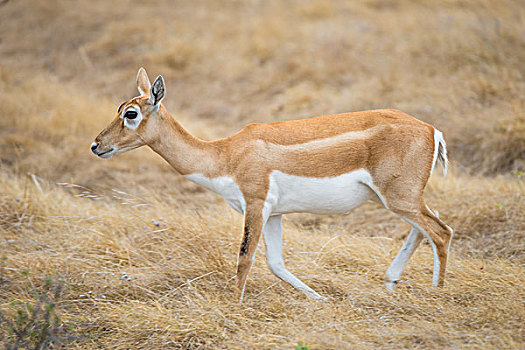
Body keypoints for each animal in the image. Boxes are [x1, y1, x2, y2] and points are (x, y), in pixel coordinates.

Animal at [90, 67, 450, 300]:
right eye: (119, 108)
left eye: (132, 114)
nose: (96, 145)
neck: (225, 154)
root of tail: (431, 130)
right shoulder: (274, 214)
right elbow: (275, 263)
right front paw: (321, 300)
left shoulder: (256, 203)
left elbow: (244, 258)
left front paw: (234, 308)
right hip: (395, 199)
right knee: (425, 228)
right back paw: (390, 284)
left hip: (398, 197)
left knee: (441, 232)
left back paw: (437, 294)